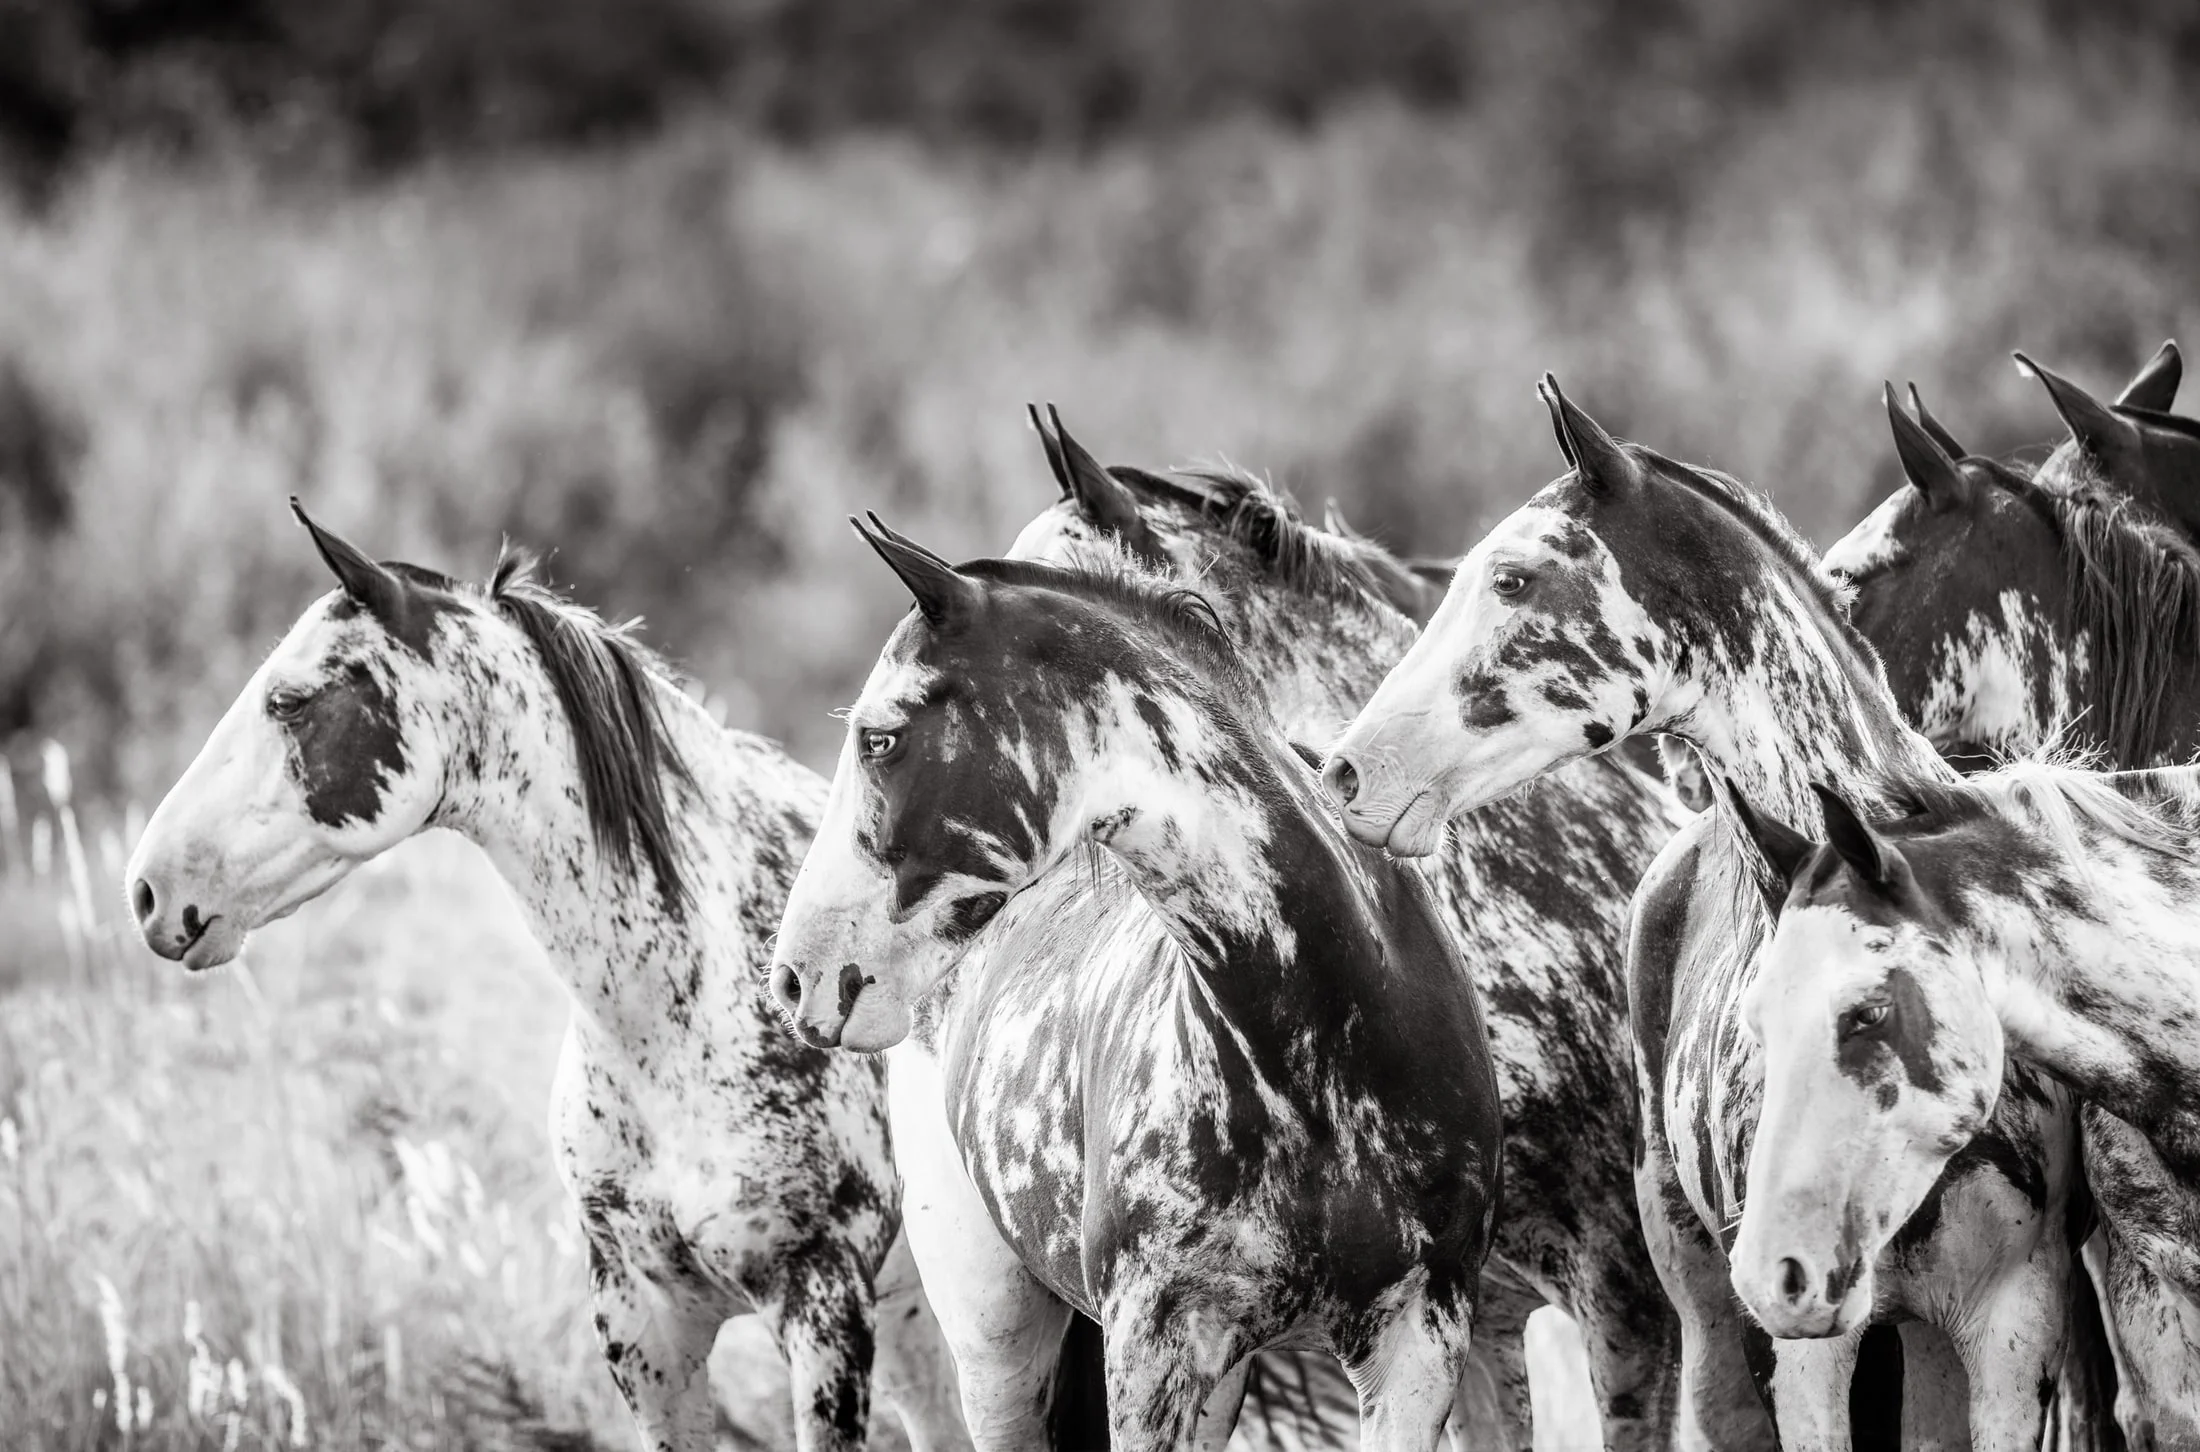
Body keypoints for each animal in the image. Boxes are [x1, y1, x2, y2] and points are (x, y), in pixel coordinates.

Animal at [768, 516, 1506, 1450]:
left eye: (880, 739)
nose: (797, 977)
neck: (1325, 1041)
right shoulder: (1153, 1349)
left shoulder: (1419, 1341)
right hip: (999, 1347)